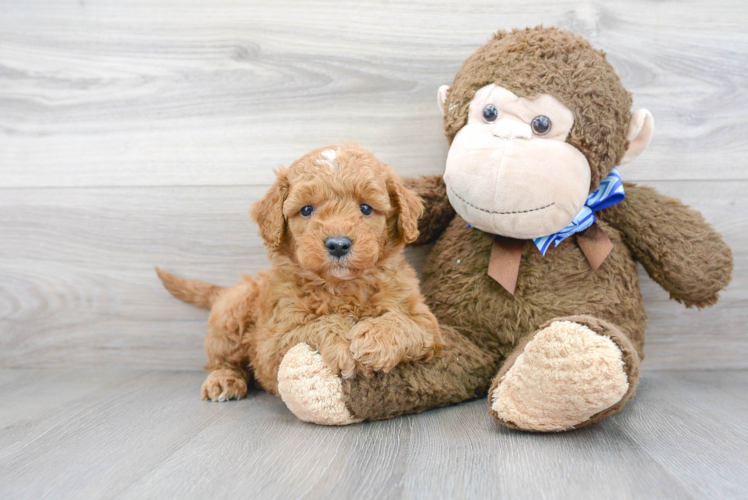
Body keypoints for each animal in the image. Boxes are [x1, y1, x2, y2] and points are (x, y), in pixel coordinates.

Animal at [155, 143, 442, 400]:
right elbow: (312, 325)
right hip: (232, 313)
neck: (341, 286)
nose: (338, 244)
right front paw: (341, 341)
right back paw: (223, 379)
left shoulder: (427, 323)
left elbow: (406, 323)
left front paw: (373, 339)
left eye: (365, 208)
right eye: (306, 210)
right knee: (221, 359)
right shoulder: (270, 345)